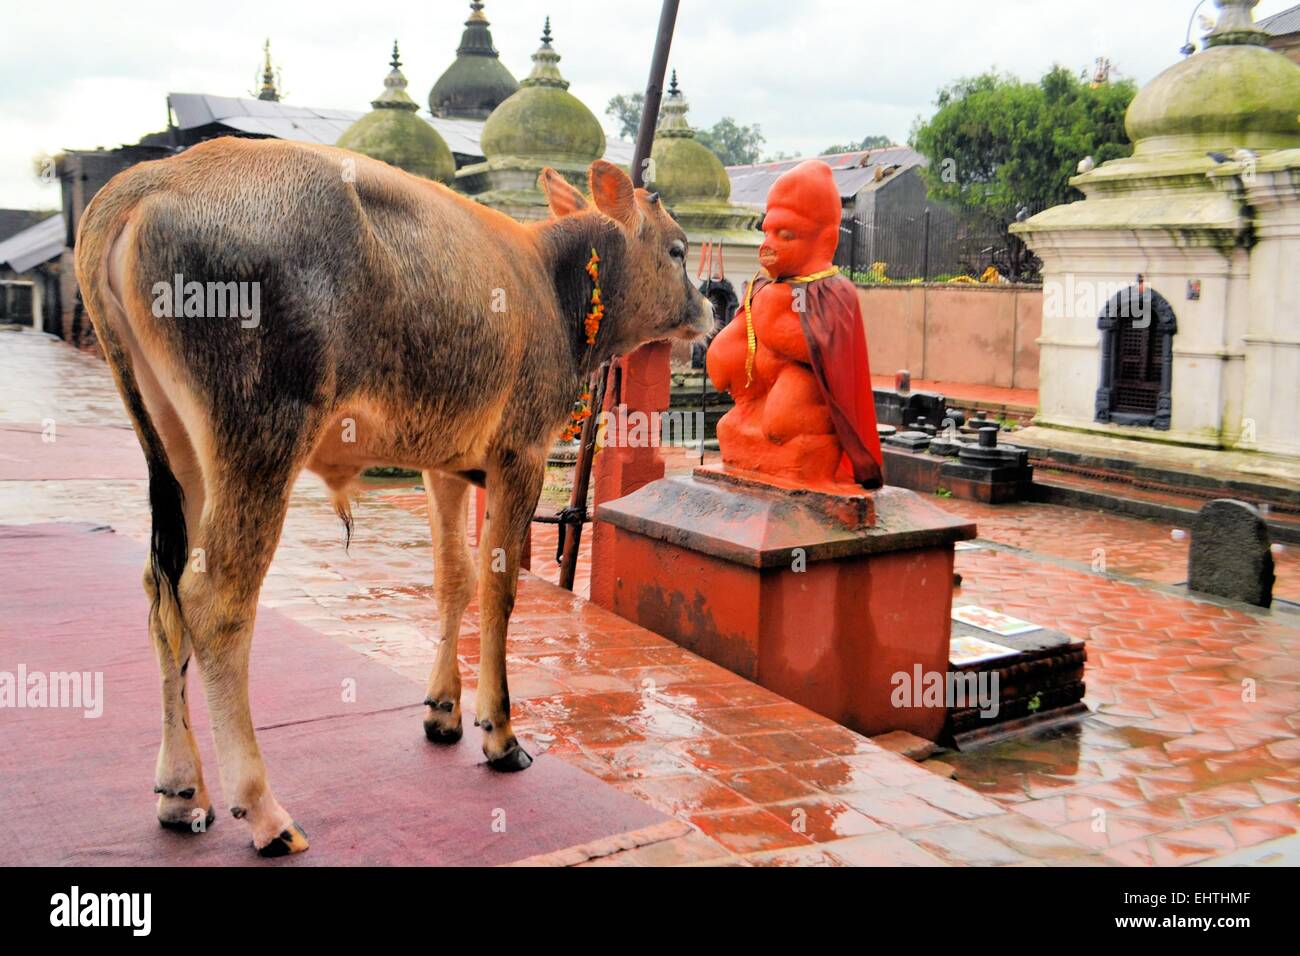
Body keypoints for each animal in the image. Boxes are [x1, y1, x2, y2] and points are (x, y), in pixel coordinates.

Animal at [72, 132, 712, 853]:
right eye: (678, 249)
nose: (710, 306)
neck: (554, 284)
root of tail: (152, 177)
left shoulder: (448, 465)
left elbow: (453, 579)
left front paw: (444, 711)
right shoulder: (520, 454)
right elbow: (499, 590)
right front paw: (500, 733)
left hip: (179, 447)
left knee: (163, 595)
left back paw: (182, 793)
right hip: (260, 437)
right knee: (214, 602)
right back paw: (264, 812)